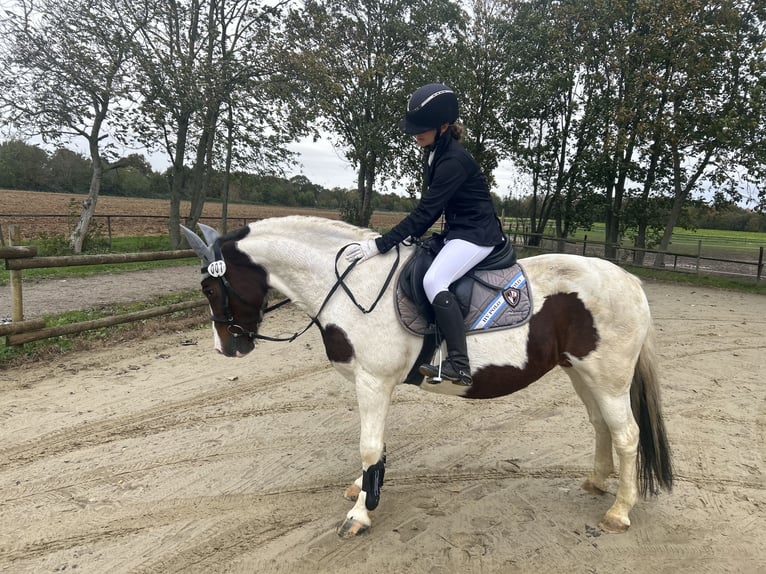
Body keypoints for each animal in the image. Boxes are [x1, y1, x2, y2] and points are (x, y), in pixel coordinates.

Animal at [180, 215, 673, 538]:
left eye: (209, 286)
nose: (227, 347)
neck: (350, 286)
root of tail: (629, 280)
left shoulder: (373, 381)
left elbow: (369, 446)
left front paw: (361, 513)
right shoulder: (370, 384)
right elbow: (376, 448)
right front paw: (365, 489)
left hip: (607, 379)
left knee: (626, 434)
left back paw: (619, 511)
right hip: (580, 373)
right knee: (601, 426)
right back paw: (597, 482)